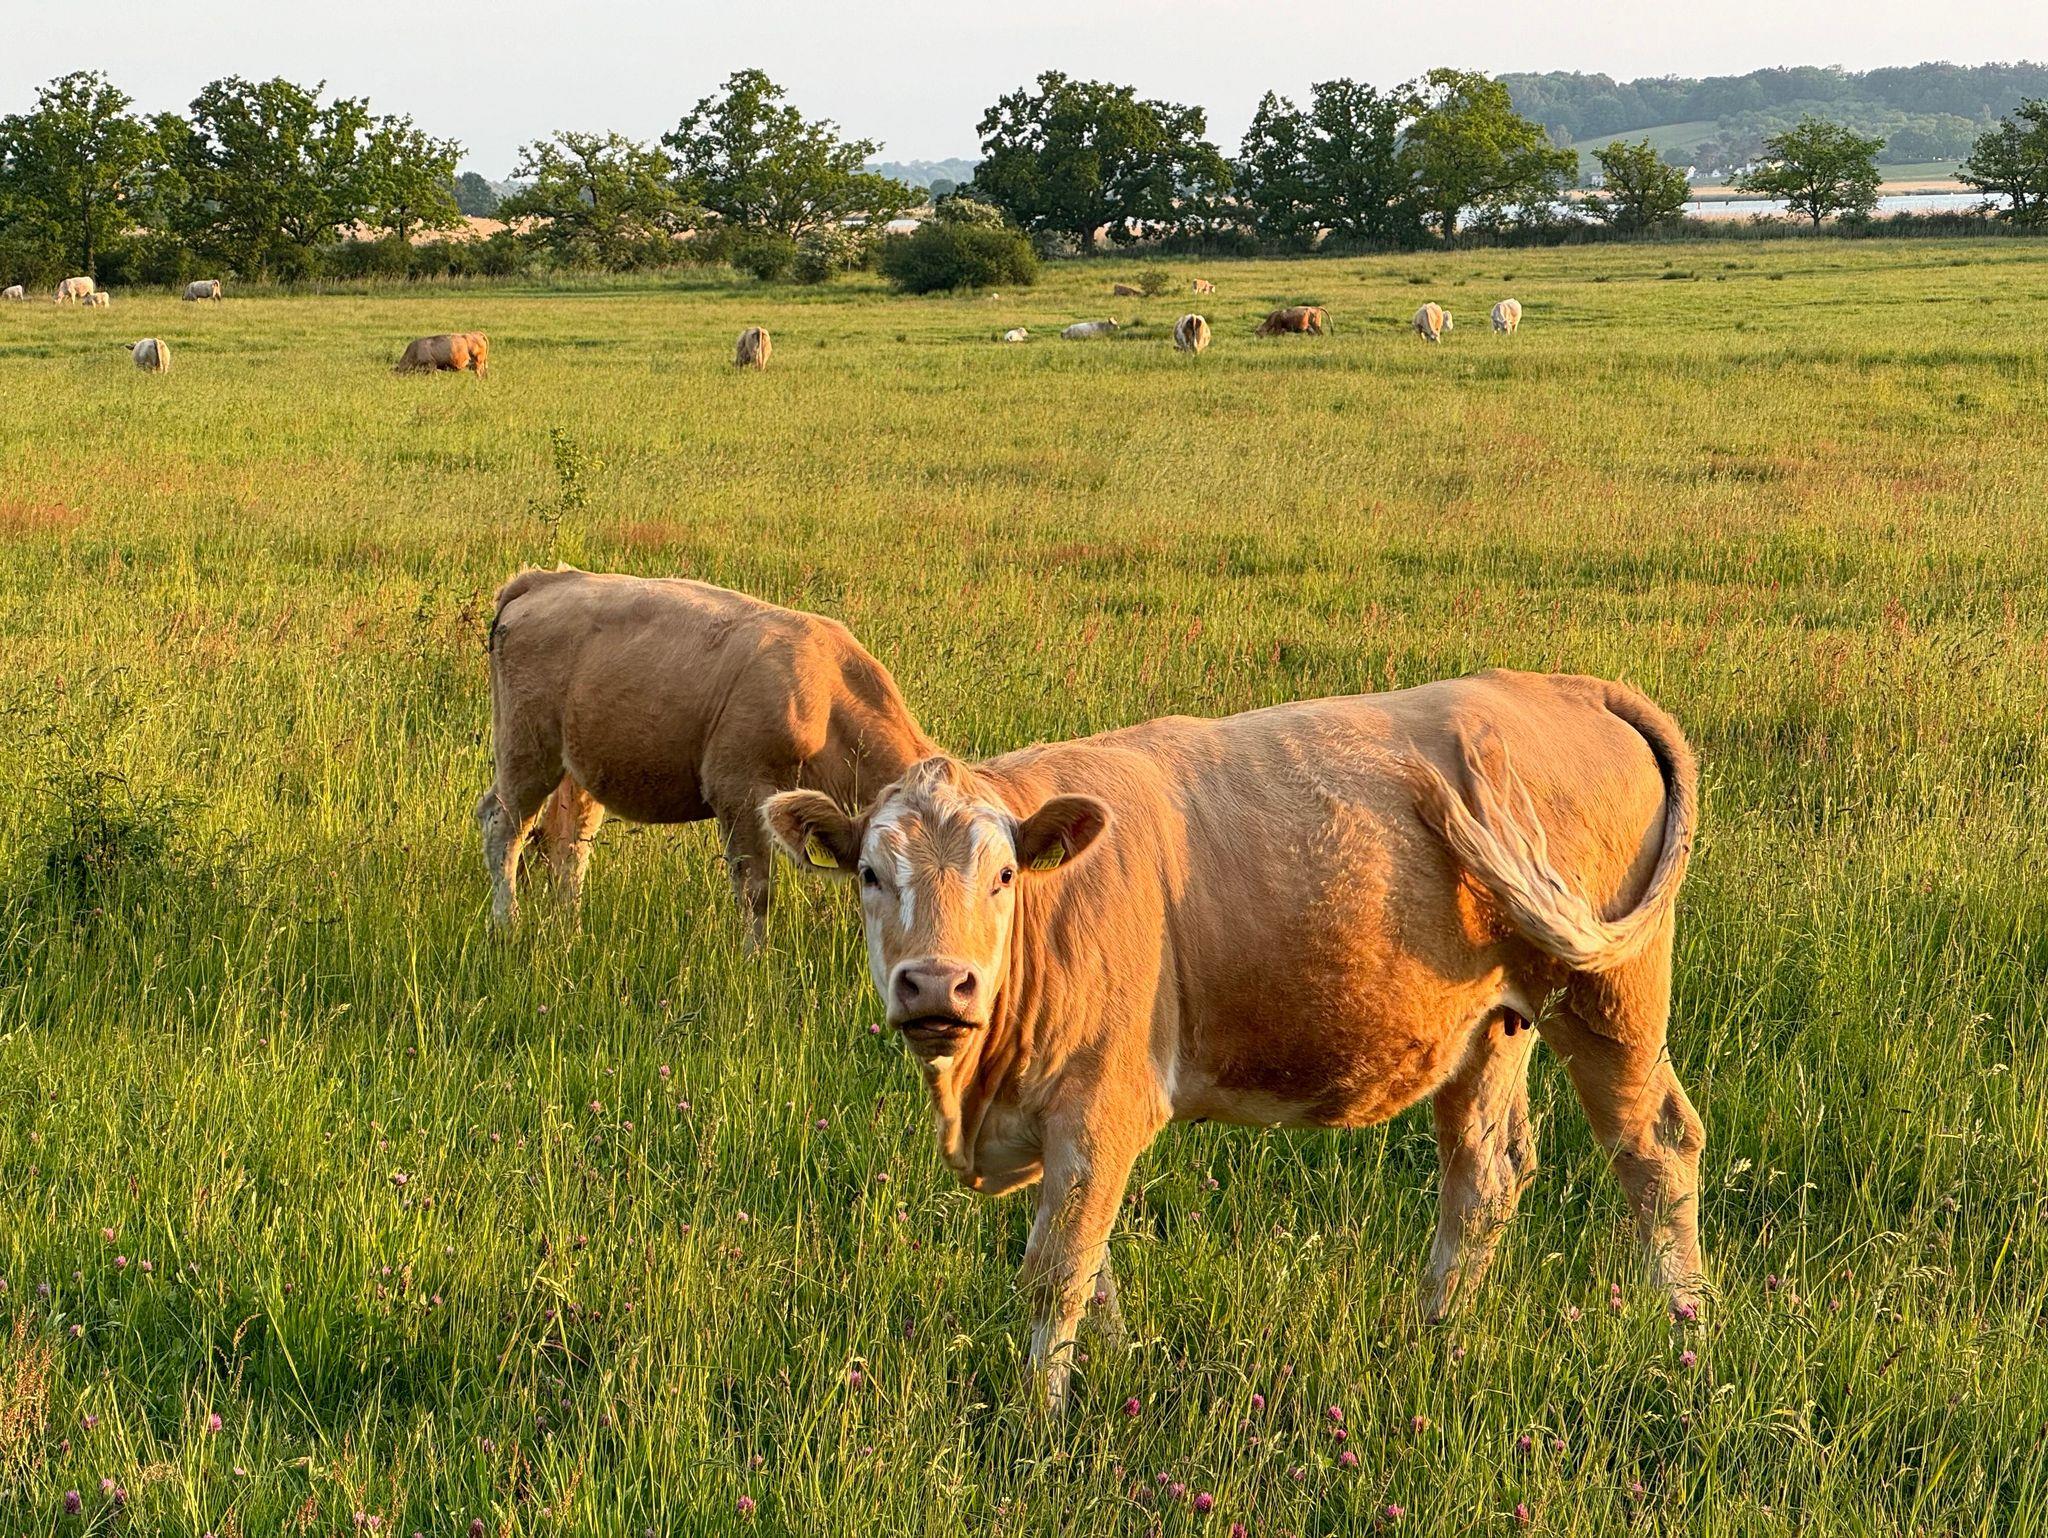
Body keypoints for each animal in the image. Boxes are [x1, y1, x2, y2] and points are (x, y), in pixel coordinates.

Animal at [480, 567, 935, 941]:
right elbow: (756, 891)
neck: (827, 699)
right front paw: (754, 965)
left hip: (578, 765)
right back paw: (508, 925)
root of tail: (546, 578)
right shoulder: (738, 791)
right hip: (527, 749)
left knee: (568, 844)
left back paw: (569, 931)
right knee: (504, 827)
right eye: (881, 873)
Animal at [765, 669, 1704, 1409]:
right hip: (1492, 1023)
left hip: (1608, 992)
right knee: (1485, 1175)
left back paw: (1686, 1330)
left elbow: (1059, 1269)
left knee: (1656, 1147)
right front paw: (1118, 1370)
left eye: (1002, 876)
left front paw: (1041, 1421)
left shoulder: (1101, 1107)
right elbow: (1093, 1266)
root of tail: (1568, 687)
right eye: (868, 874)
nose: (935, 983)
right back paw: (1429, 1338)